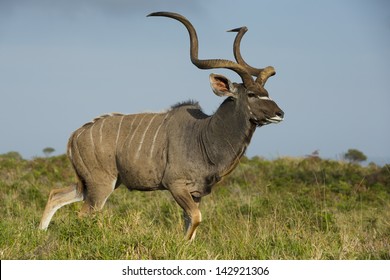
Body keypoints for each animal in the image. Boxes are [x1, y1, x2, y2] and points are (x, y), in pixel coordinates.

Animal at [39, 12, 284, 241]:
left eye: (266, 92)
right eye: (251, 94)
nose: (279, 114)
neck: (203, 135)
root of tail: (75, 135)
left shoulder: (196, 193)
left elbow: (190, 222)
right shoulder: (176, 185)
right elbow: (196, 218)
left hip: (97, 183)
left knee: (56, 195)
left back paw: (40, 233)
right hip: (101, 185)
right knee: (84, 214)